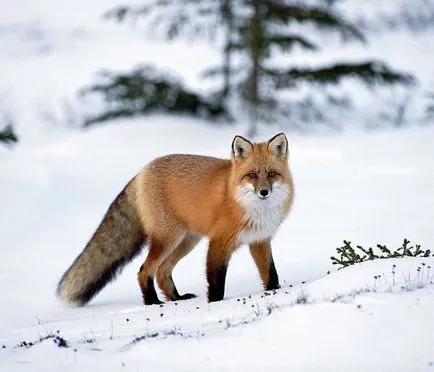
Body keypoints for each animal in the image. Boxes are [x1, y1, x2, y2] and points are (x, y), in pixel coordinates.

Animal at [56, 133, 294, 306]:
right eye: (252, 175)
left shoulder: (259, 240)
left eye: (271, 174)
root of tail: (141, 172)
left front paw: (274, 292)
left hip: (187, 240)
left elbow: (271, 274)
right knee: (145, 270)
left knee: (162, 271)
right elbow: (216, 280)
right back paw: (152, 302)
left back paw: (176, 298)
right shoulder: (218, 242)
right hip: (167, 239)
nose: (264, 192)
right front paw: (216, 304)